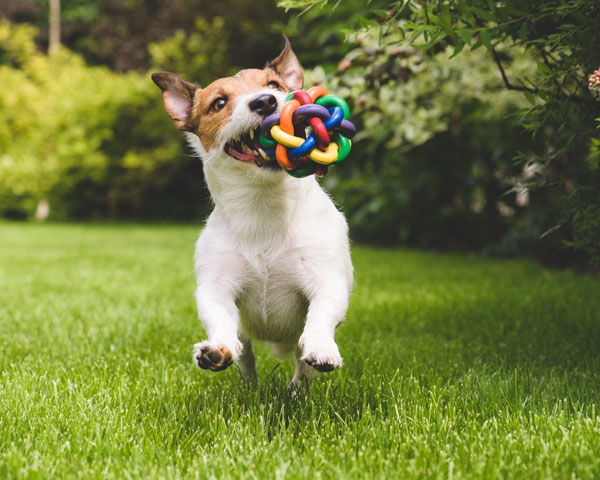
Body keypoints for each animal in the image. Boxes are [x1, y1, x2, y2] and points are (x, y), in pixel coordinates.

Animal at [152, 36, 354, 386]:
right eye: (218, 103)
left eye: (274, 85)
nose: (264, 102)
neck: (262, 205)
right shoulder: (217, 286)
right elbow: (219, 316)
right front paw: (217, 349)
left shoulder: (326, 278)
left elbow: (322, 312)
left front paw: (321, 347)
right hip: (245, 337)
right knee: (245, 352)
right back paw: (247, 382)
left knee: (301, 365)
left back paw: (297, 388)